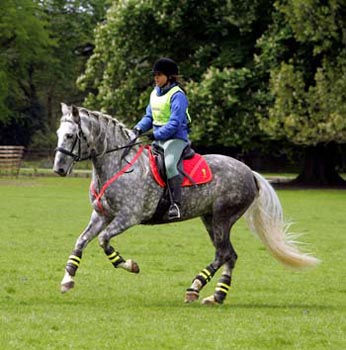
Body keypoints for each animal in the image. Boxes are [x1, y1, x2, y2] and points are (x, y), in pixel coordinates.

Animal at [52, 102, 318, 304]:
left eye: (71, 135)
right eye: (58, 134)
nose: (58, 169)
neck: (118, 164)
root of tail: (249, 172)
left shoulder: (129, 216)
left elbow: (104, 241)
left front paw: (131, 265)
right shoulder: (101, 215)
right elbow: (81, 241)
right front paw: (67, 280)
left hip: (222, 217)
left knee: (223, 253)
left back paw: (195, 287)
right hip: (210, 218)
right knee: (229, 255)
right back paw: (216, 296)